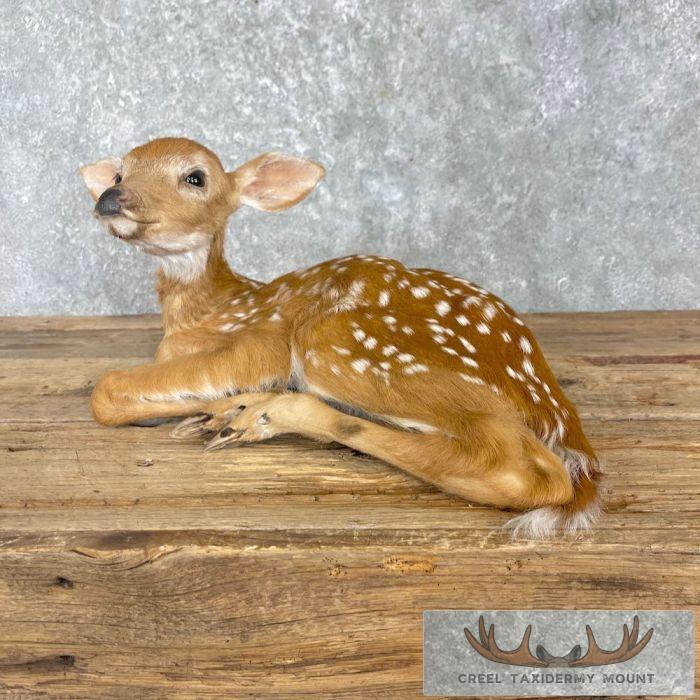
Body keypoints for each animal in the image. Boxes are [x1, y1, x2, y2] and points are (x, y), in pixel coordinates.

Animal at [80, 136, 602, 538]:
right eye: (121, 171)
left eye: (195, 177)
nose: (111, 196)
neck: (208, 312)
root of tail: (553, 405)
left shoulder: (260, 341)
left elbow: (106, 390)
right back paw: (238, 414)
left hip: (345, 345)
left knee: (528, 472)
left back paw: (256, 413)